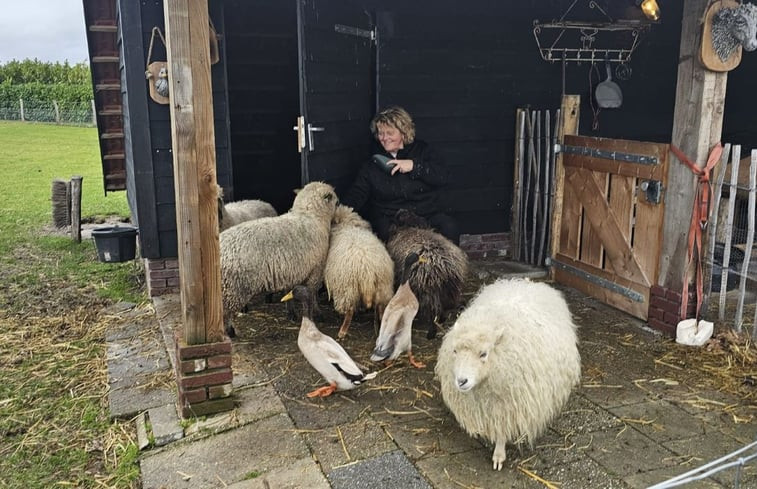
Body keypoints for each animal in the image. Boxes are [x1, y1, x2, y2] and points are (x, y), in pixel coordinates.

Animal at [219, 181, 336, 338]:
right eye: (335, 200)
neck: (310, 215)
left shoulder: (292, 270)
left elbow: (290, 292)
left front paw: (291, 313)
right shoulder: (316, 270)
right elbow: (313, 294)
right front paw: (317, 313)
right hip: (235, 288)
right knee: (226, 313)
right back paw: (229, 331)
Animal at [322, 204, 392, 338]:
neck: (347, 225)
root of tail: (368, 270)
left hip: (347, 288)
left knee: (349, 310)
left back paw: (342, 331)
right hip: (383, 286)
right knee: (381, 308)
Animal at [390, 210, 466, 340]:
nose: (400, 211)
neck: (410, 227)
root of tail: (440, 264)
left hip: (426, 290)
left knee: (432, 311)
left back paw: (431, 332)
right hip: (449, 289)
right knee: (443, 307)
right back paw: (442, 319)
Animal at [434, 278, 580, 468]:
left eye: (484, 354)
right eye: (455, 351)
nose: (461, 381)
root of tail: (527, 282)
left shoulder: (507, 405)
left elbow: (502, 429)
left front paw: (498, 454)